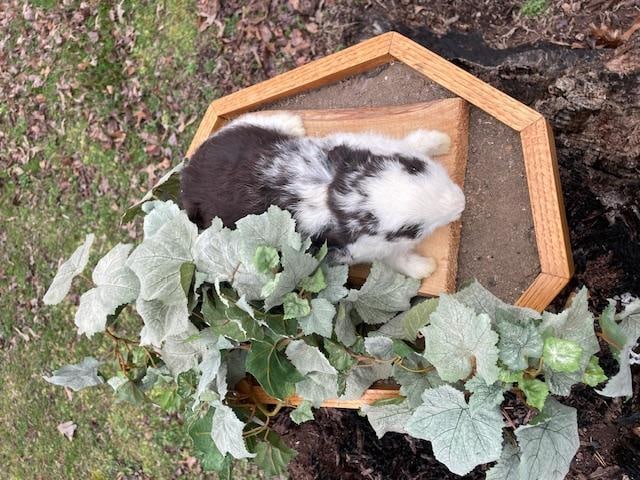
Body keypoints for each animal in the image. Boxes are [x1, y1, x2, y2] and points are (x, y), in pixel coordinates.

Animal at [180, 112, 465, 279]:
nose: (460, 202)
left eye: (413, 167)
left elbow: (414, 141)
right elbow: (402, 262)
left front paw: (442, 141)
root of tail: (187, 178)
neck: (330, 195)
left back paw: (295, 123)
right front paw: (428, 268)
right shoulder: (375, 252)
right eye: (408, 230)